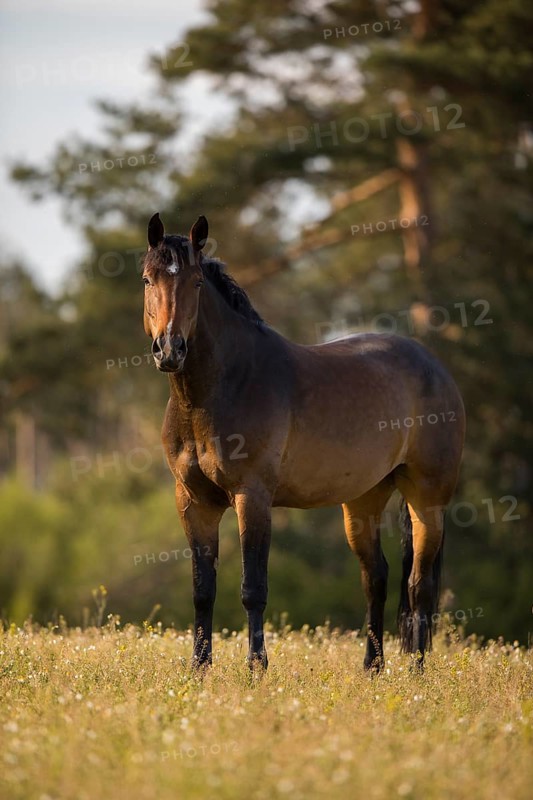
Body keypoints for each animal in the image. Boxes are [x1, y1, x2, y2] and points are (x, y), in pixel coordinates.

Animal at [142, 212, 465, 671]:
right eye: (147, 279)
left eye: (197, 282)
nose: (169, 349)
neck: (219, 389)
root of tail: (434, 366)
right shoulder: (193, 502)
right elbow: (202, 591)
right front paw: (199, 670)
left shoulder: (252, 497)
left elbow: (253, 589)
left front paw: (256, 668)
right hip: (363, 500)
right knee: (377, 577)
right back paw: (372, 669)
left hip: (427, 496)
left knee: (419, 584)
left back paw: (417, 673)